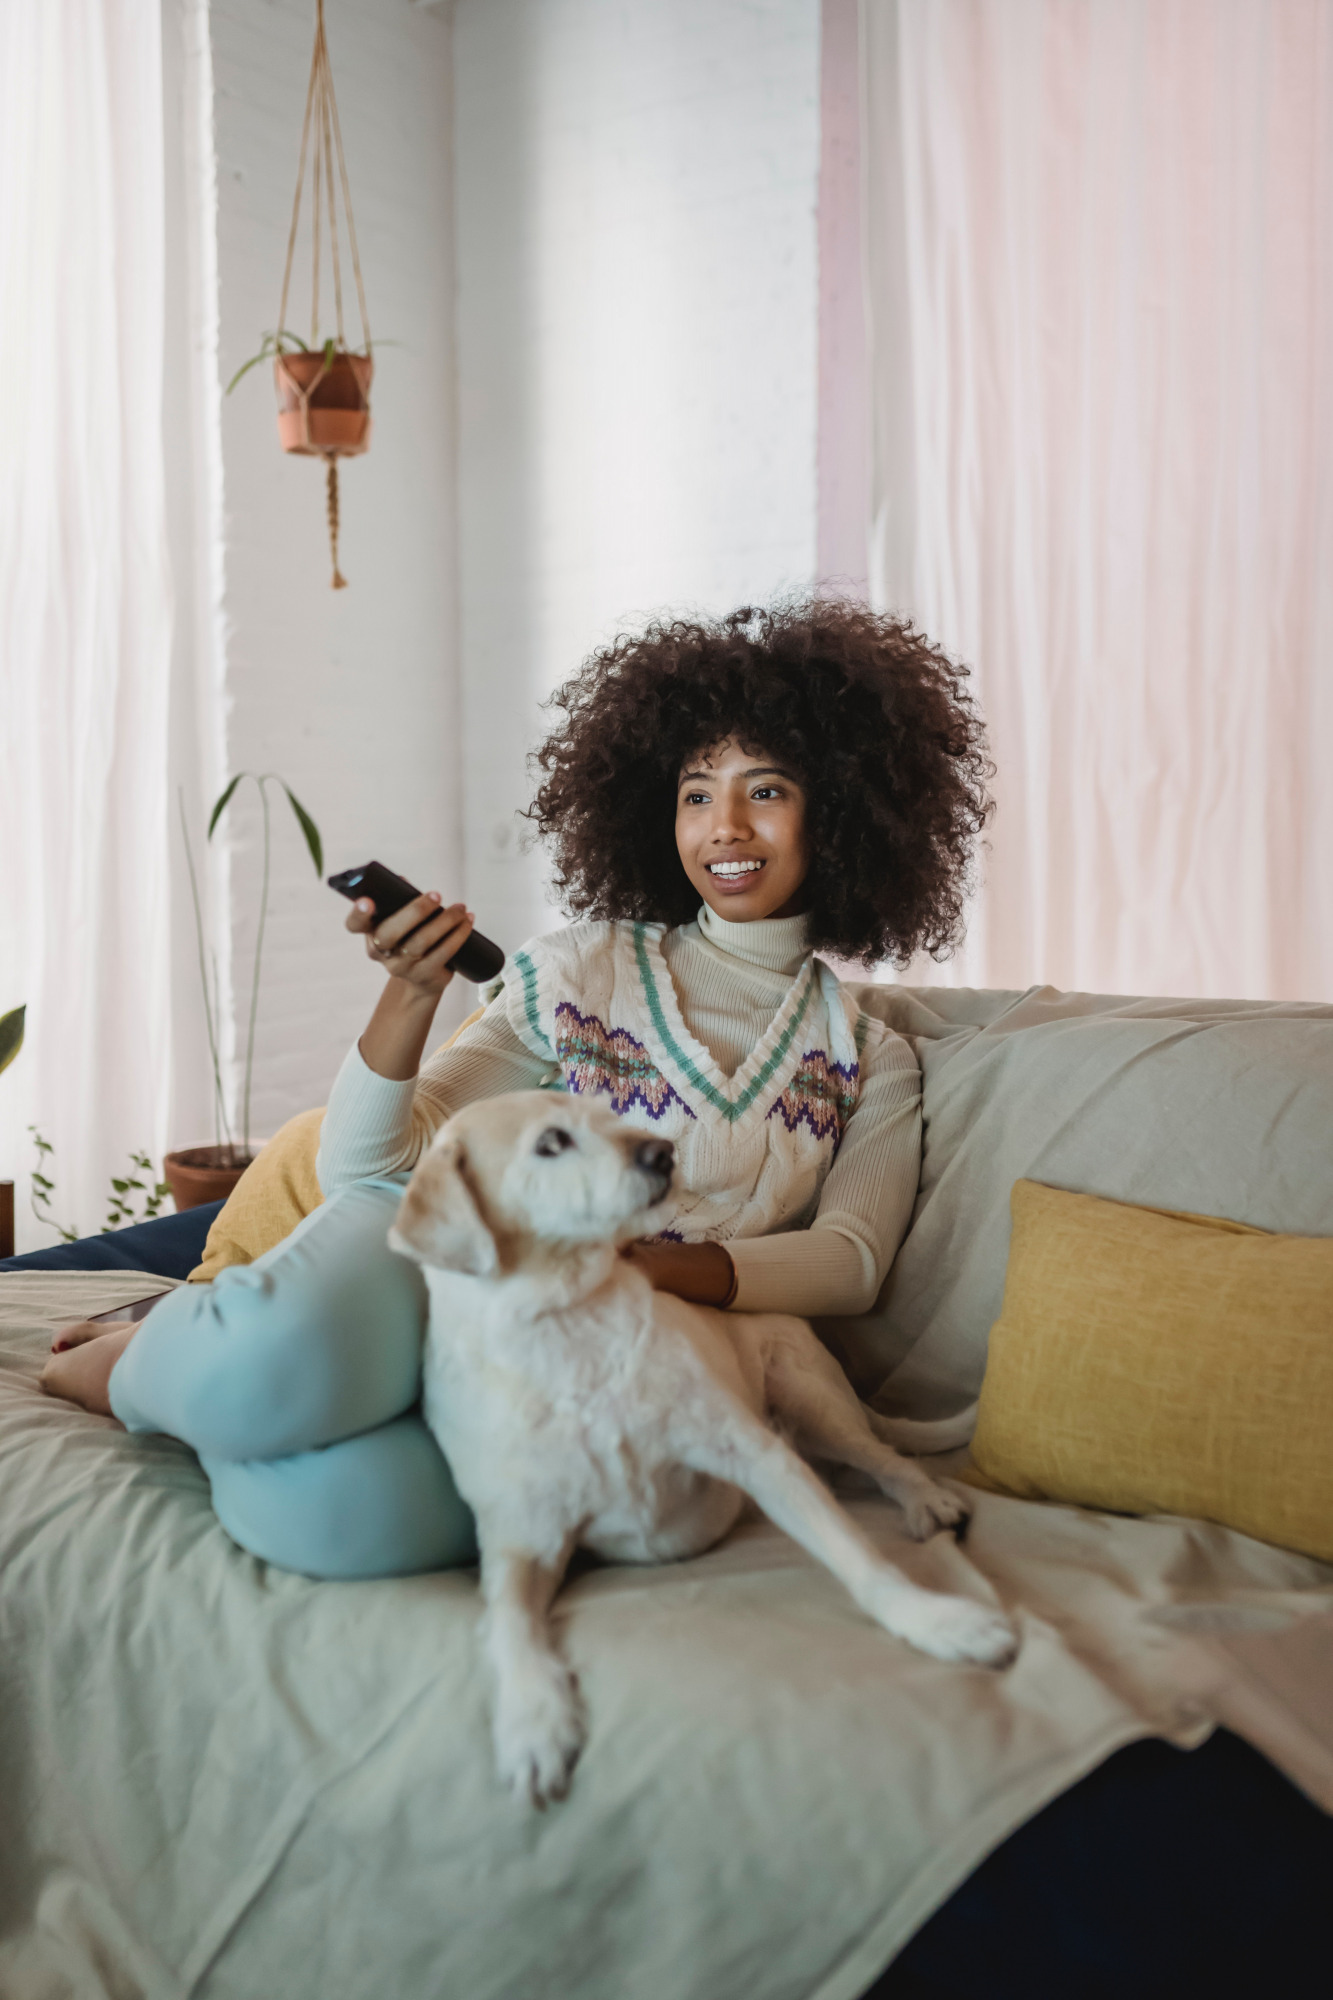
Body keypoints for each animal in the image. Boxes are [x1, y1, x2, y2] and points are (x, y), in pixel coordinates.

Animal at [390, 1096, 1012, 1816]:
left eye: (606, 1116)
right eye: (550, 1143)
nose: (661, 1154)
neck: (567, 1328)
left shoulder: (757, 1457)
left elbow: (858, 1557)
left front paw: (936, 1623)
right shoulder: (522, 1542)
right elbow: (510, 1625)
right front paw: (532, 1723)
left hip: (813, 1401)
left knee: (883, 1459)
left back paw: (924, 1499)